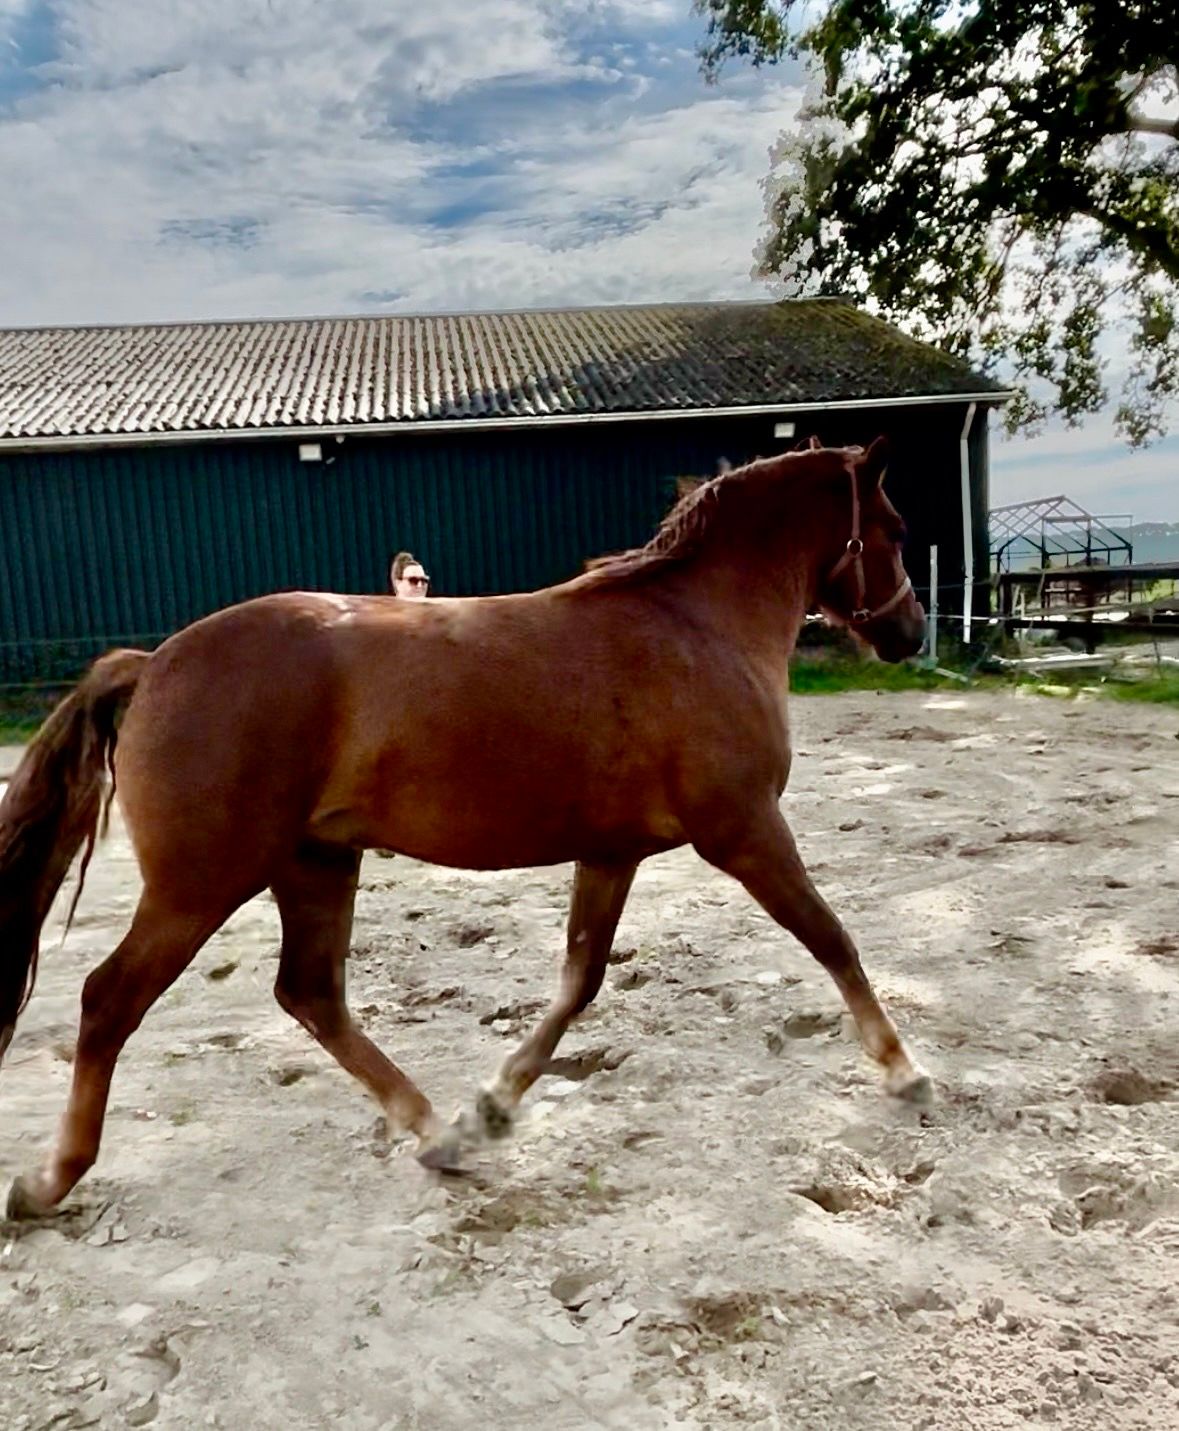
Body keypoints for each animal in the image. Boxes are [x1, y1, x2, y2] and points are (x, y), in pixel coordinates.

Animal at [0, 437, 928, 1217]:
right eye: (893, 528)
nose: (910, 632)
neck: (693, 624)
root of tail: (153, 663)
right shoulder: (742, 829)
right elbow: (829, 935)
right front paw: (905, 1071)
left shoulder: (611, 851)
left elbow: (579, 980)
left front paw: (492, 1105)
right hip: (203, 880)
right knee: (109, 999)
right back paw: (48, 1181)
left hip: (314, 860)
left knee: (310, 992)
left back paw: (437, 1130)